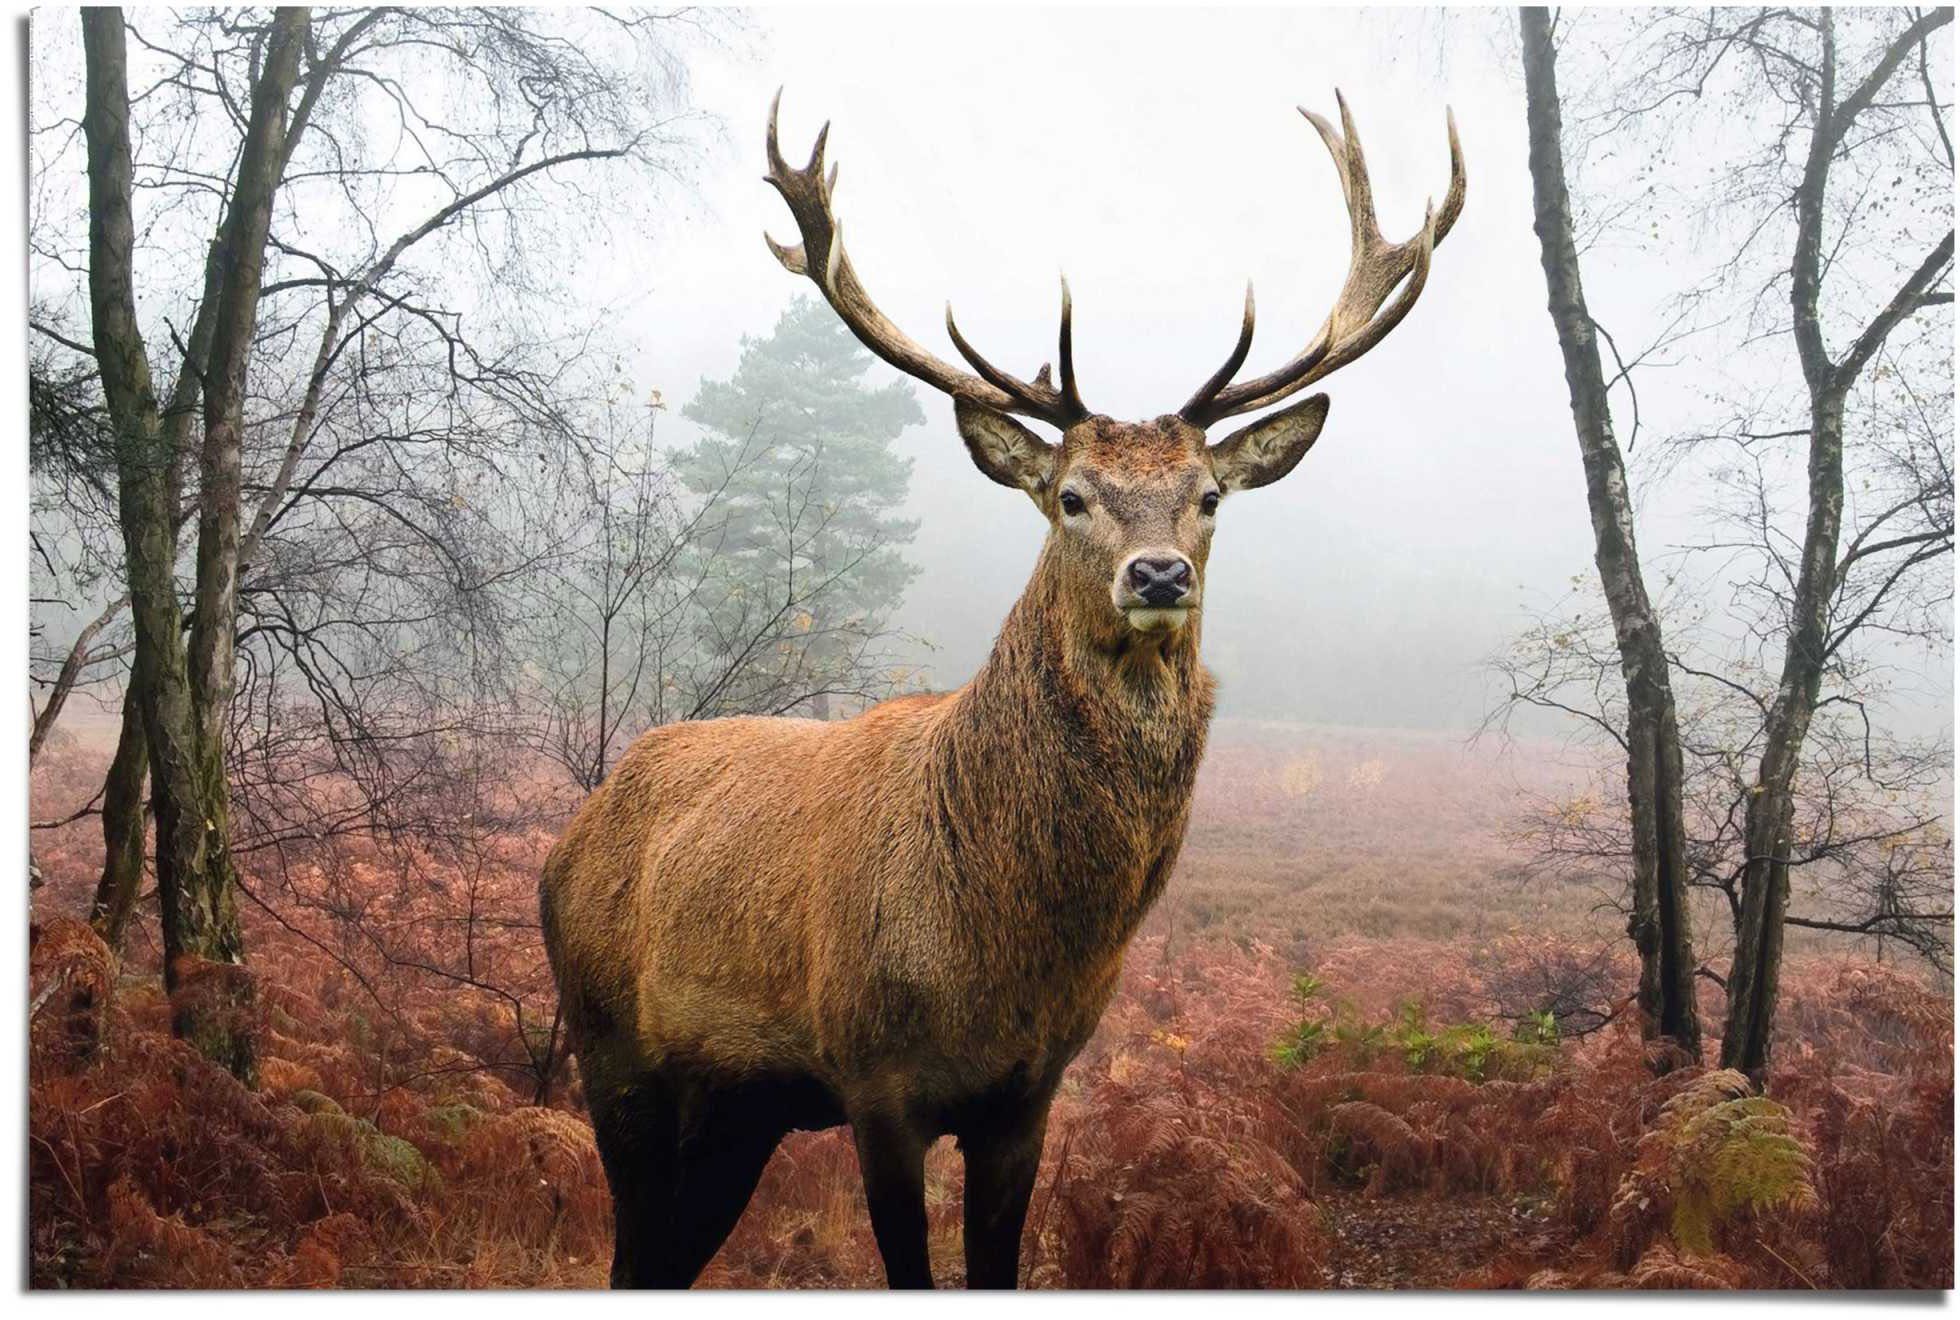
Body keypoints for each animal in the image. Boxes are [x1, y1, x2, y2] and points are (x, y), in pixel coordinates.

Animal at [544, 87, 1466, 1278]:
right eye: (1071, 496)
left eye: (1209, 495)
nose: (1157, 574)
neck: (1003, 951)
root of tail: (574, 832)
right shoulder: (875, 1080)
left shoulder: (1027, 1095)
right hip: (611, 1048)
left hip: (735, 1107)